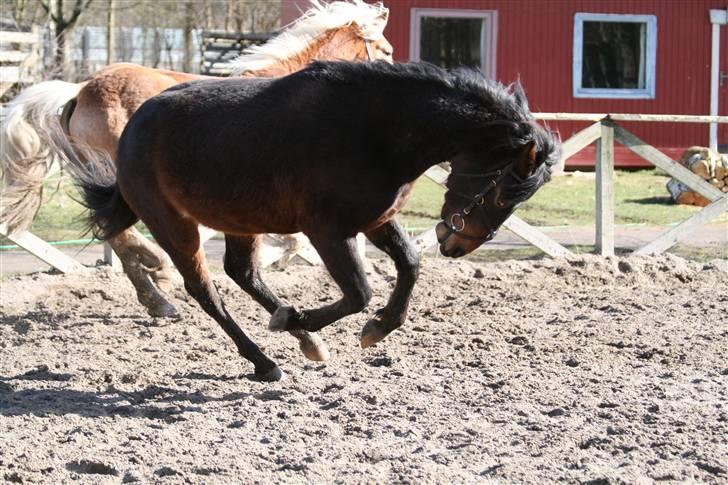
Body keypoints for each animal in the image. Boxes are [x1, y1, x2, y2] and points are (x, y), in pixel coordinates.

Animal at [0, 0, 392, 326]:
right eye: (385, 50)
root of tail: (79, 92)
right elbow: (293, 242)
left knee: (114, 233)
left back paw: (157, 295)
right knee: (121, 232)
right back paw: (159, 271)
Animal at [68, 60, 560, 380]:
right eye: (501, 190)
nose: (459, 246)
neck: (375, 132)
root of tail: (132, 129)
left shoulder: (375, 220)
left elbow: (410, 265)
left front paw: (374, 327)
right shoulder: (328, 232)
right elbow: (359, 293)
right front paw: (321, 321)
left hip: (240, 221)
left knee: (242, 273)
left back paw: (300, 337)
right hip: (175, 225)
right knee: (206, 291)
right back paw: (265, 360)